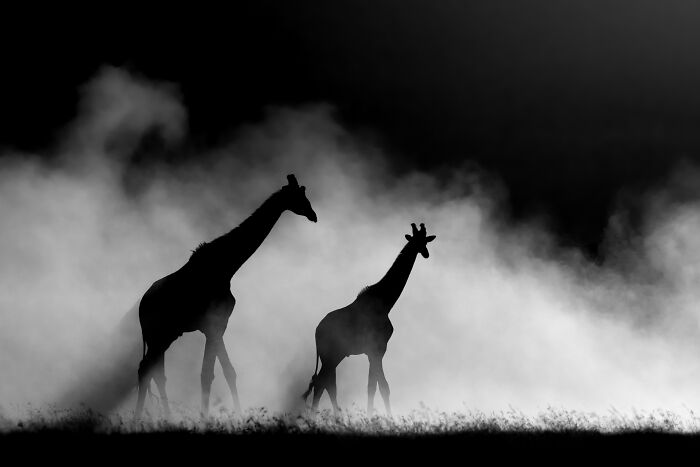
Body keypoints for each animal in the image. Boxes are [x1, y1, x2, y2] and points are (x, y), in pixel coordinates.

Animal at [135, 174, 317, 418]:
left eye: (305, 194)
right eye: (299, 196)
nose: (313, 215)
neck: (227, 266)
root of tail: (141, 307)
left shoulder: (219, 325)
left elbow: (228, 372)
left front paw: (238, 416)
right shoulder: (213, 324)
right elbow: (207, 375)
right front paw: (205, 419)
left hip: (165, 335)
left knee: (155, 372)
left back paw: (164, 417)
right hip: (159, 334)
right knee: (146, 369)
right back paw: (141, 418)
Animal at [302, 223, 435, 416]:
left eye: (425, 240)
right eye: (415, 240)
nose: (426, 253)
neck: (385, 302)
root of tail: (316, 331)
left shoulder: (373, 351)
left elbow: (372, 386)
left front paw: (371, 416)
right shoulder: (378, 348)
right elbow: (383, 387)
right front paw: (387, 418)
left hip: (334, 355)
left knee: (327, 383)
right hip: (332, 354)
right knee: (322, 382)